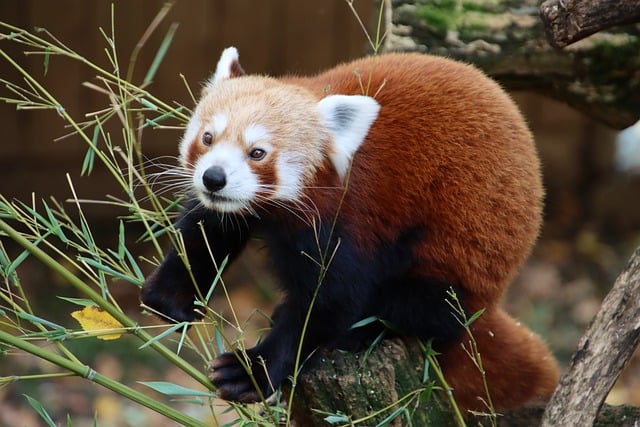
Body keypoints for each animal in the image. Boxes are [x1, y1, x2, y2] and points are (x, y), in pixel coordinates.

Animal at [141, 46, 560, 414]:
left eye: (257, 152)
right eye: (208, 138)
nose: (214, 178)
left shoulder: (352, 218)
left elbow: (331, 301)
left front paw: (252, 370)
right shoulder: (234, 209)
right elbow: (206, 233)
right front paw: (170, 296)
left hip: (459, 248)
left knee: (421, 303)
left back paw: (362, 330)